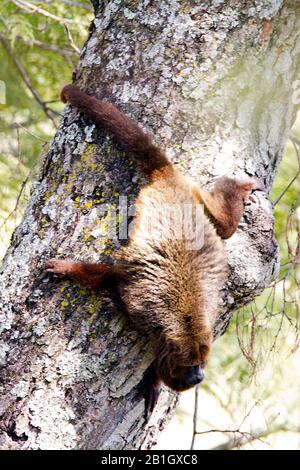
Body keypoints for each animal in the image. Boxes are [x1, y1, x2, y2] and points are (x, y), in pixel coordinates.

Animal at [45, 84, 262, 412]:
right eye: (190, 366)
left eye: (202, 363)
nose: (199, 376)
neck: (182, 326)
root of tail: (168, 178)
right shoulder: (140, 306)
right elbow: (112, 276)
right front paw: (66, 268)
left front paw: (154, 383)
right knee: (225, 228)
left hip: (197, 198)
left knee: (224, 227)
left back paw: (234, 193)